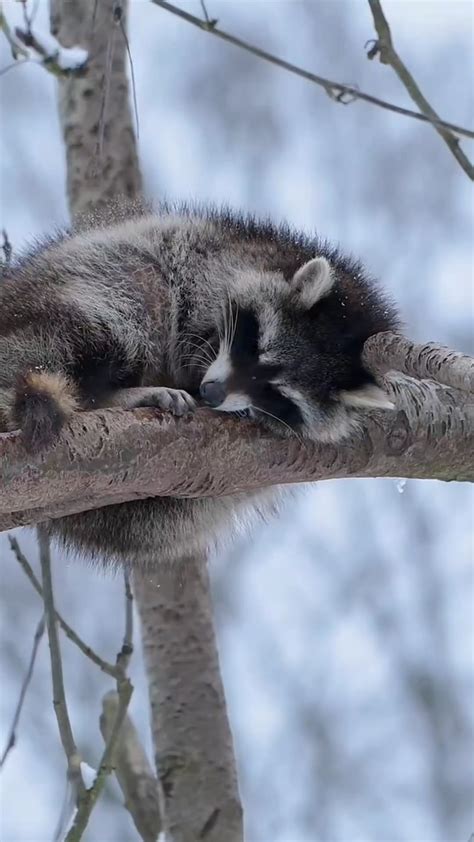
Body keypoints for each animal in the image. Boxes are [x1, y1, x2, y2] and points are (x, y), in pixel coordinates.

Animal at [0, 204, 398, 568]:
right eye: (254, 345)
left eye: (279, 395)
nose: (212, 394)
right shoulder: (214, 258)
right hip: (82, 282)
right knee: (131, 297)